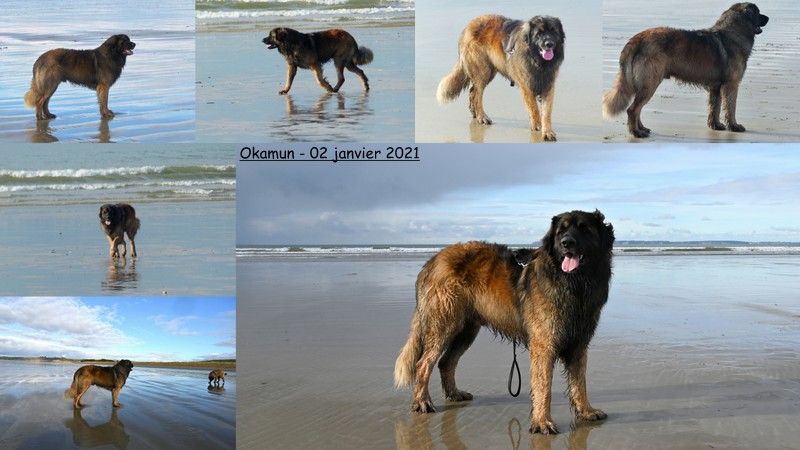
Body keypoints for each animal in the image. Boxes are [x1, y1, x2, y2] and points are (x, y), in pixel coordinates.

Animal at [392, 209, 612, 434]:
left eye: (584, 229)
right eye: (561, 231)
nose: (567, 243)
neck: (574, 284)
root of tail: (432, 261)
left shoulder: (579, 344)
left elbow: (579, 382)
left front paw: (586, 411)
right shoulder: (544, 345)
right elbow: (544, 386)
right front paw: (542, 422)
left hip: (466, 331)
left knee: (446, 362)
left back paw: (454, 394)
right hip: (444, 324)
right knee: (423, 363)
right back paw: (422, 402)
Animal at [608, 2, 768, 137]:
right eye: (758, 12)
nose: (768, 18)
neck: (734, 32)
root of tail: (638, 38)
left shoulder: (716, 87)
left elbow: (715, 108)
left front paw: (715, 125)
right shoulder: (731, 85)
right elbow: (731, 107)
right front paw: (734, 126)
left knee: (637, 109)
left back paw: (642, 128)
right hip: (650, 83)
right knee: (633, 109)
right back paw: (636, 132)